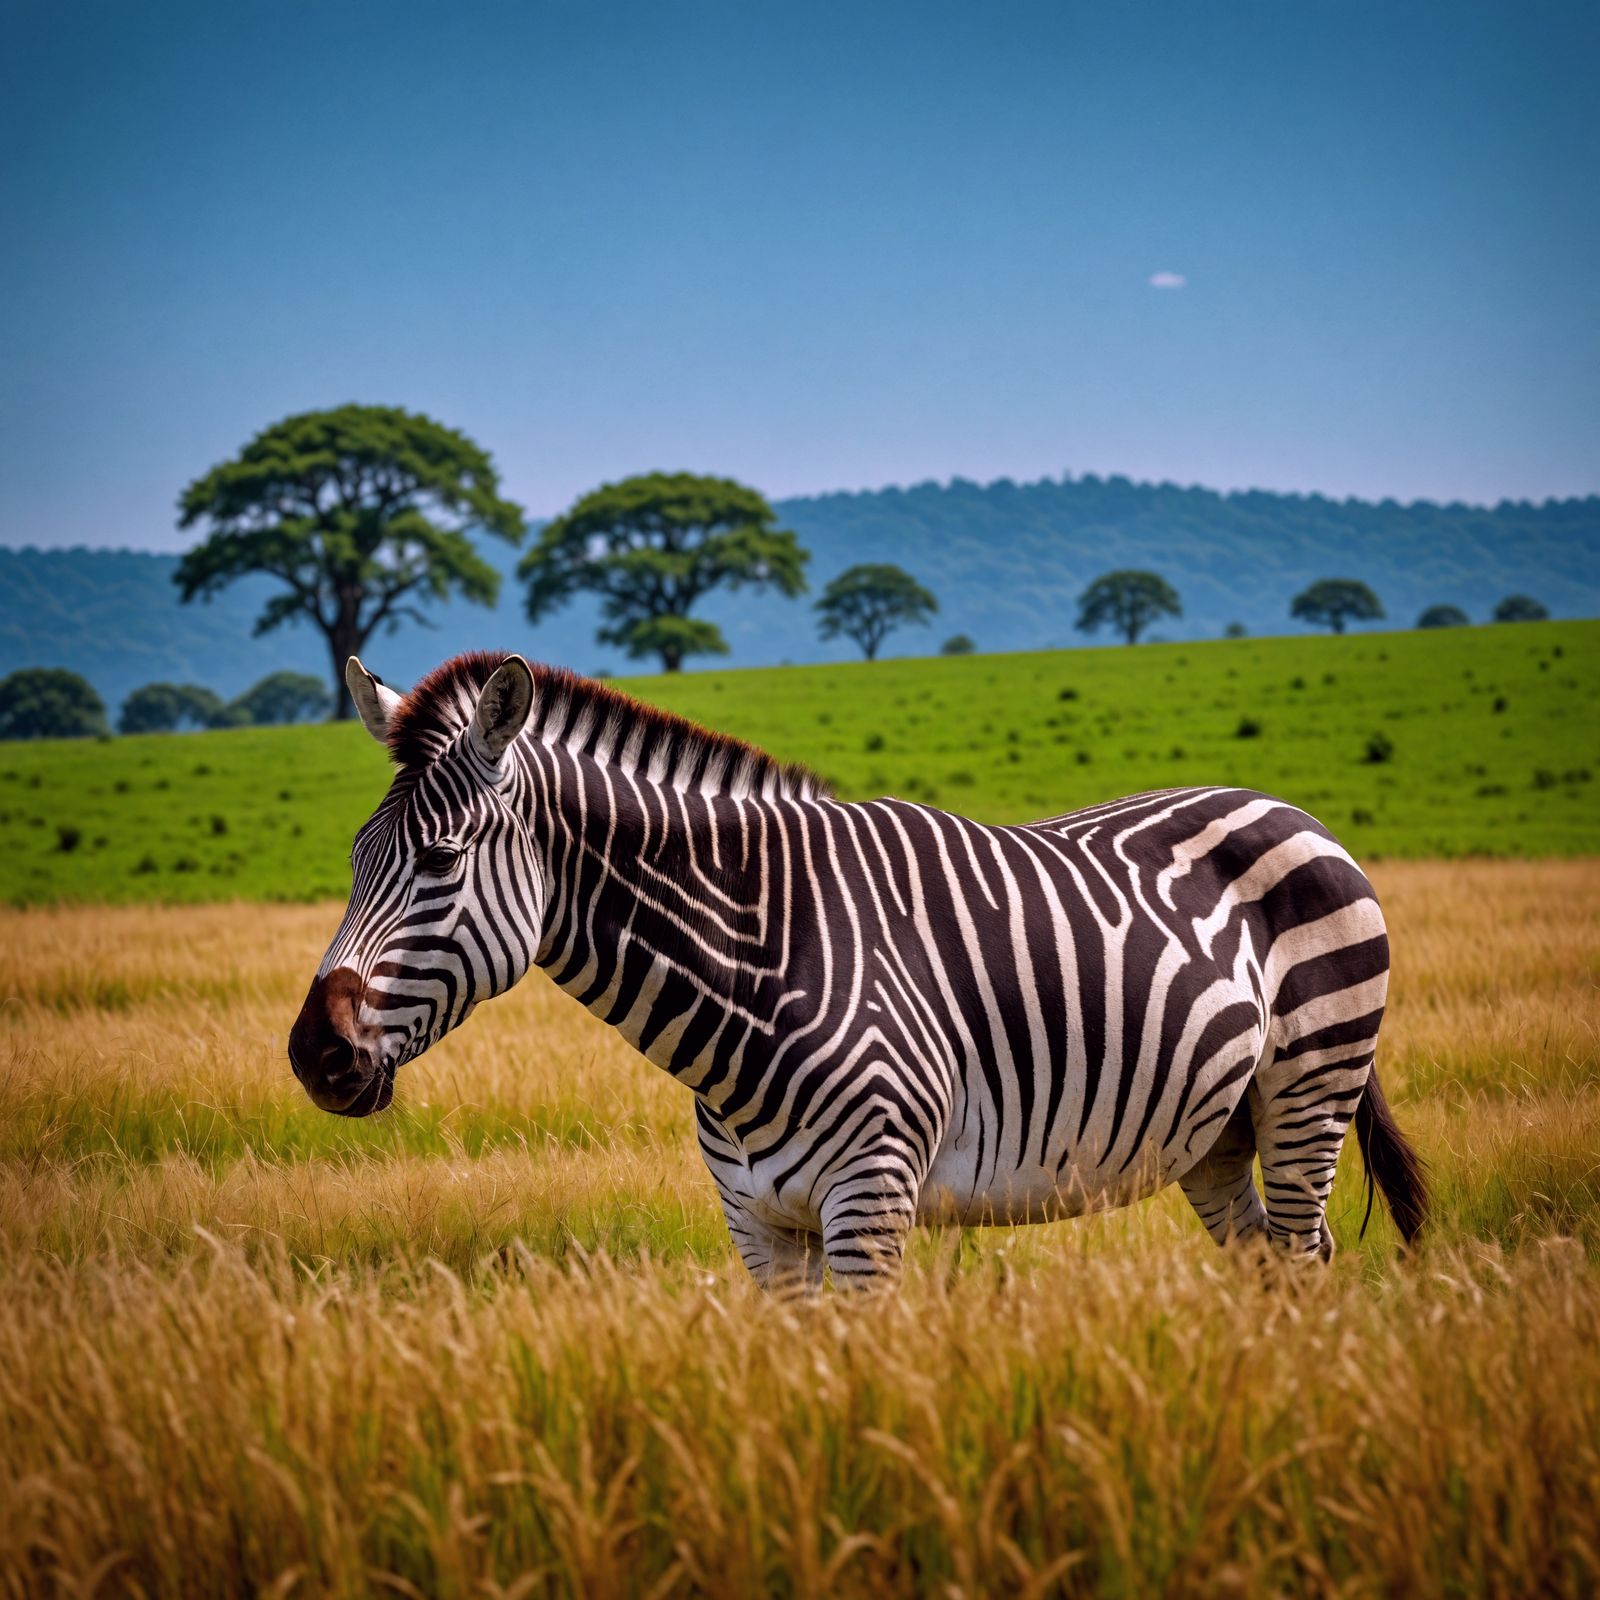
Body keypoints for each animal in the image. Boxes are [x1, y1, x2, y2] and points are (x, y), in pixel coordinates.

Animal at [290, 651, 1427, 1289]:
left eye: (440, 861)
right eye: (353, 858)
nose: (312, 1055)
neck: (758, 965)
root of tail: (1286, 807)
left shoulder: (871, 1200)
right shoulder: (758, 1222)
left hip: (1308, 1091)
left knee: (1306, 1256)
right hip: (1216, 1132)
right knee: (1272, 1268)